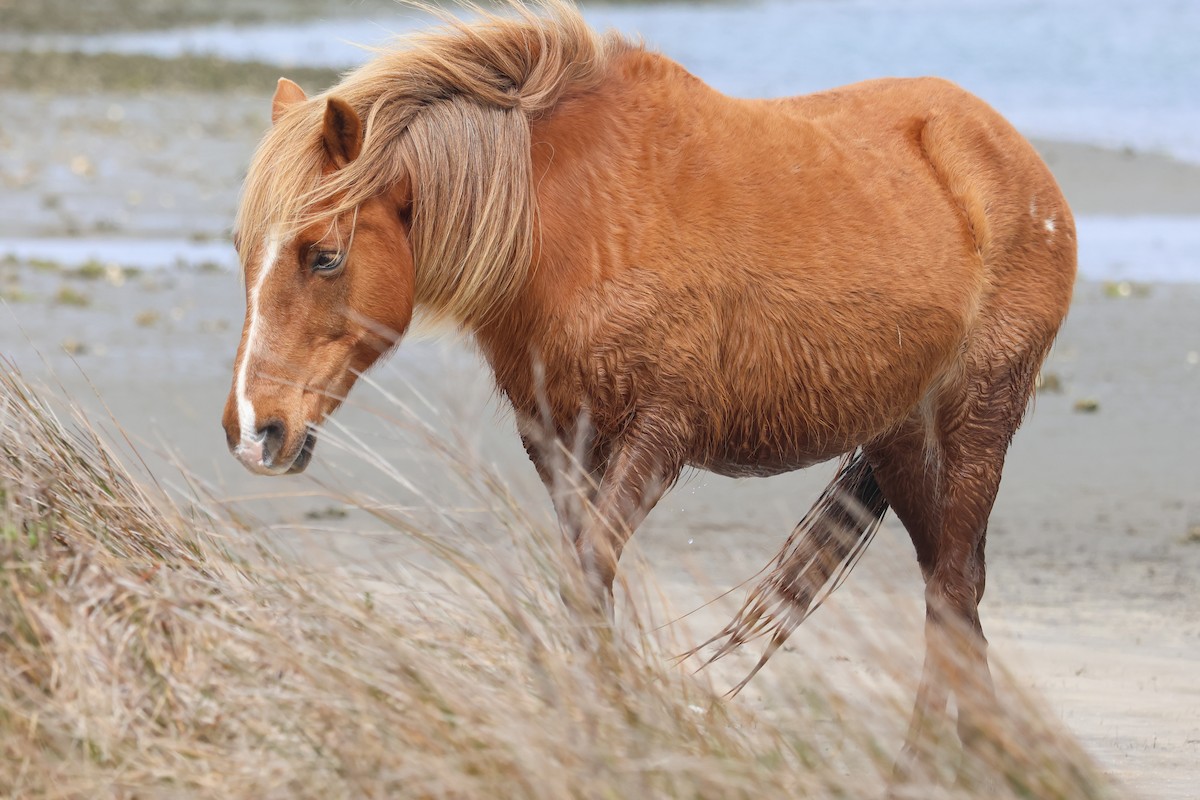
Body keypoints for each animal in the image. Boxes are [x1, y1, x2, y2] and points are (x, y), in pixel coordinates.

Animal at [220, 1, 1076, 773]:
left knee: (956, 583)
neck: (574, 221)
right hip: (901, 438)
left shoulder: (657, 438)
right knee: (946, 589)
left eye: (324, 255)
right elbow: (583, 578)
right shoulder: (558, 439)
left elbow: (592, 571)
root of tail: (1009, 152)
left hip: (975, 426)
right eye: (243, 249)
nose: (254, 430)